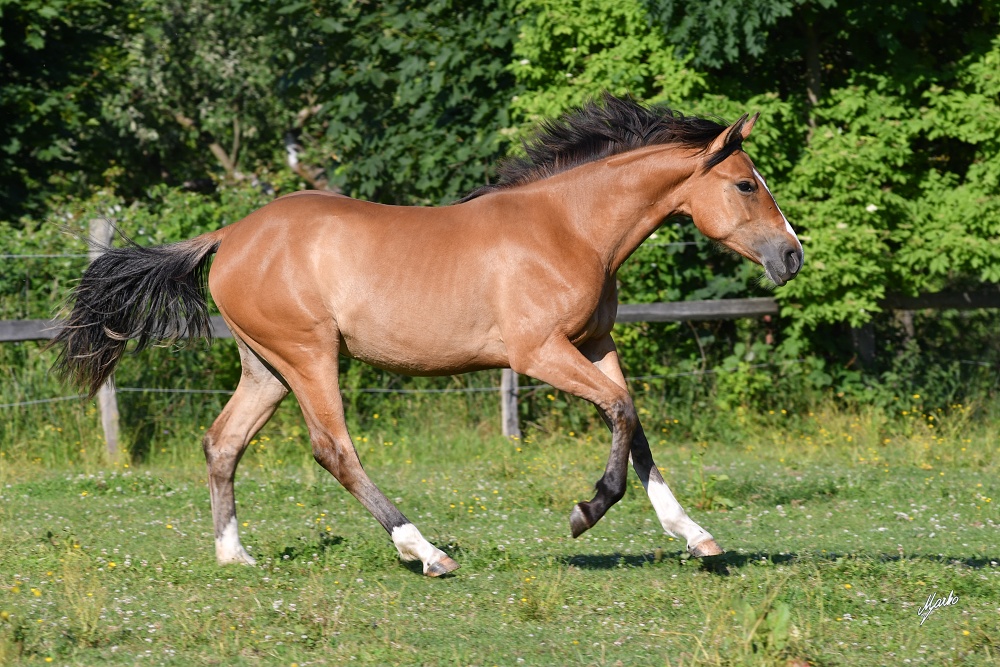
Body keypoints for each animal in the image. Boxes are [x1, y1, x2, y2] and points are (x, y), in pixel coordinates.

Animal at [54, 95, 804, 580]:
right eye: (745, 184)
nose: (792, 256)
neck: (569, 228)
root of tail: (231, 235)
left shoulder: (595, 345)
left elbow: (636, 425)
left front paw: (697, 537)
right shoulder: (540, 353)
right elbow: (621, 413)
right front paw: (584, 512)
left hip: (266, 366)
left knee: (223, 442)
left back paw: (234, 555)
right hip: (309, 356)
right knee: (334, 449)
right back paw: (427, 552)